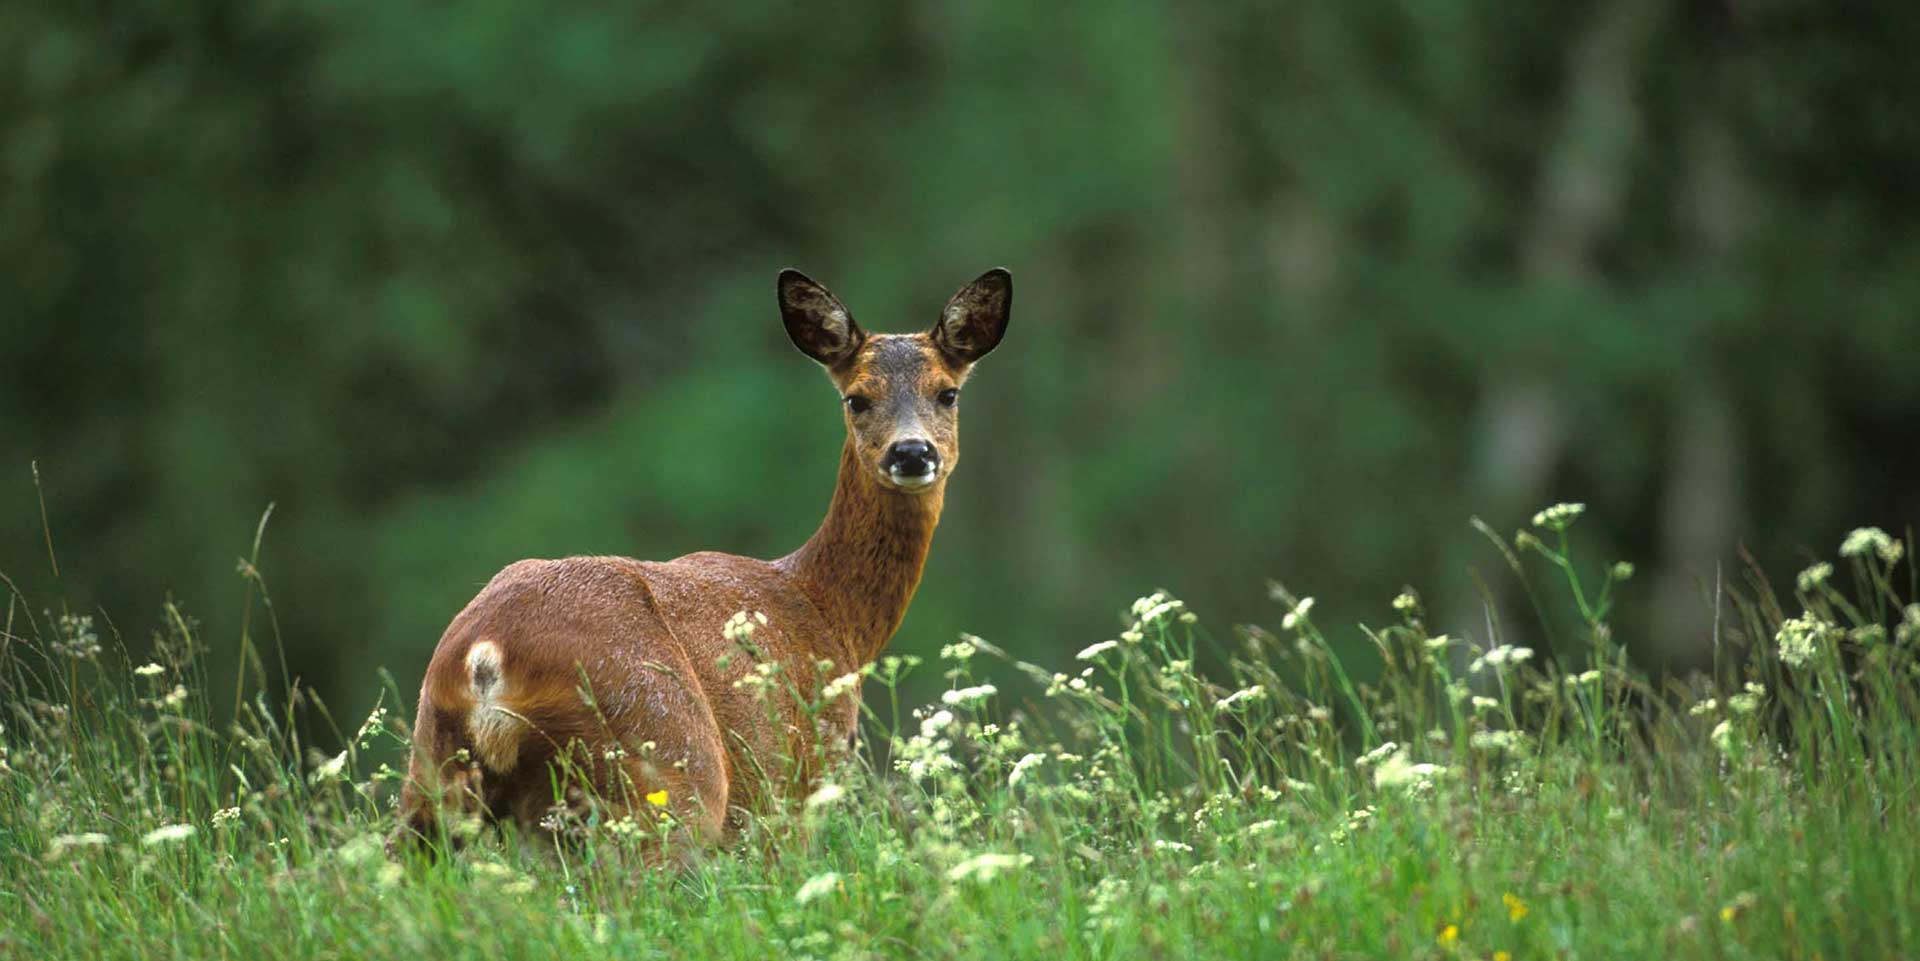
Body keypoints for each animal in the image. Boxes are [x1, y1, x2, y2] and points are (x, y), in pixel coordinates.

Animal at [395, 266, 1013, 851]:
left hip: (432, 776)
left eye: (947, 392)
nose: (911, 452)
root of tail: (484, 657)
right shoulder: (795, 782)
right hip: (667, 761)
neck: (829, 613)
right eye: (856, 398)